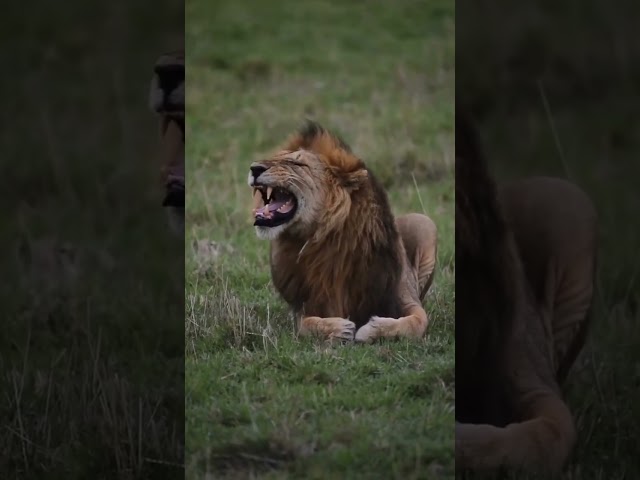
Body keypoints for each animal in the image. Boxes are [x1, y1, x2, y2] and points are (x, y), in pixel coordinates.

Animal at [247, 121, 438, 343]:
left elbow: (417, 322)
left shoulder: (404, 296)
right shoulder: (308, 304)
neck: (326, 237)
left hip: (424, 223)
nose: (254, 168)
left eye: (297, 164)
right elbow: (305, 325)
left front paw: (371, 329)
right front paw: (340, 328)